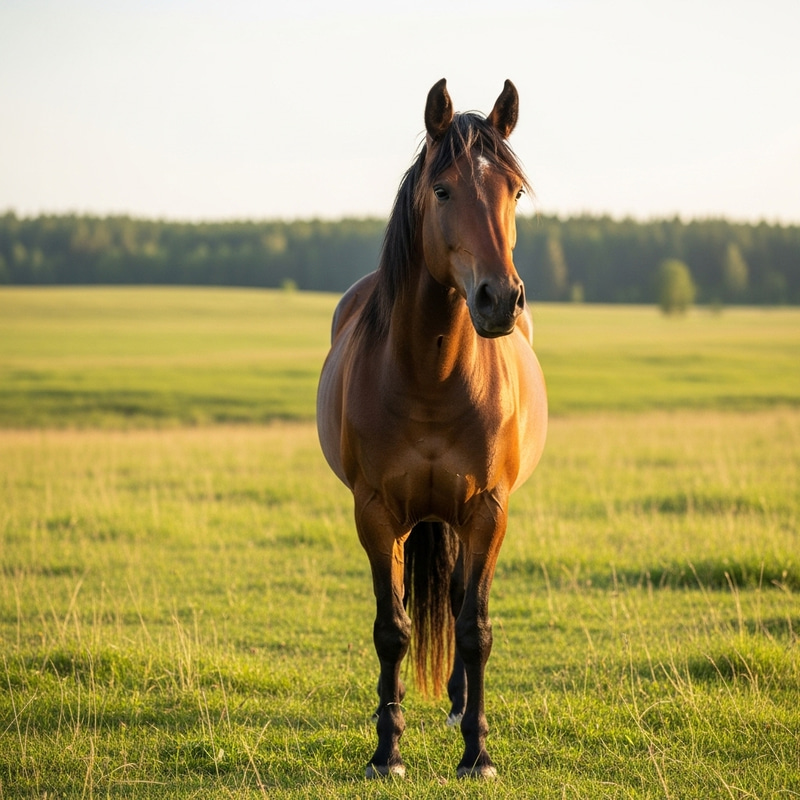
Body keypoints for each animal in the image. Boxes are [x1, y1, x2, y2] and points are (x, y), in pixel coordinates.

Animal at [316, 78, 547, 779]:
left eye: (514, 191)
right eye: (442, 190)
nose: (500, 299)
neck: (432, 376)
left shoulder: (488, 510)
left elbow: (474, 628)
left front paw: (478, 752)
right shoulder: (375, 513)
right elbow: (391, 631)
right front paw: (386, 751)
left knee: (456, 597)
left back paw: (458, 707)